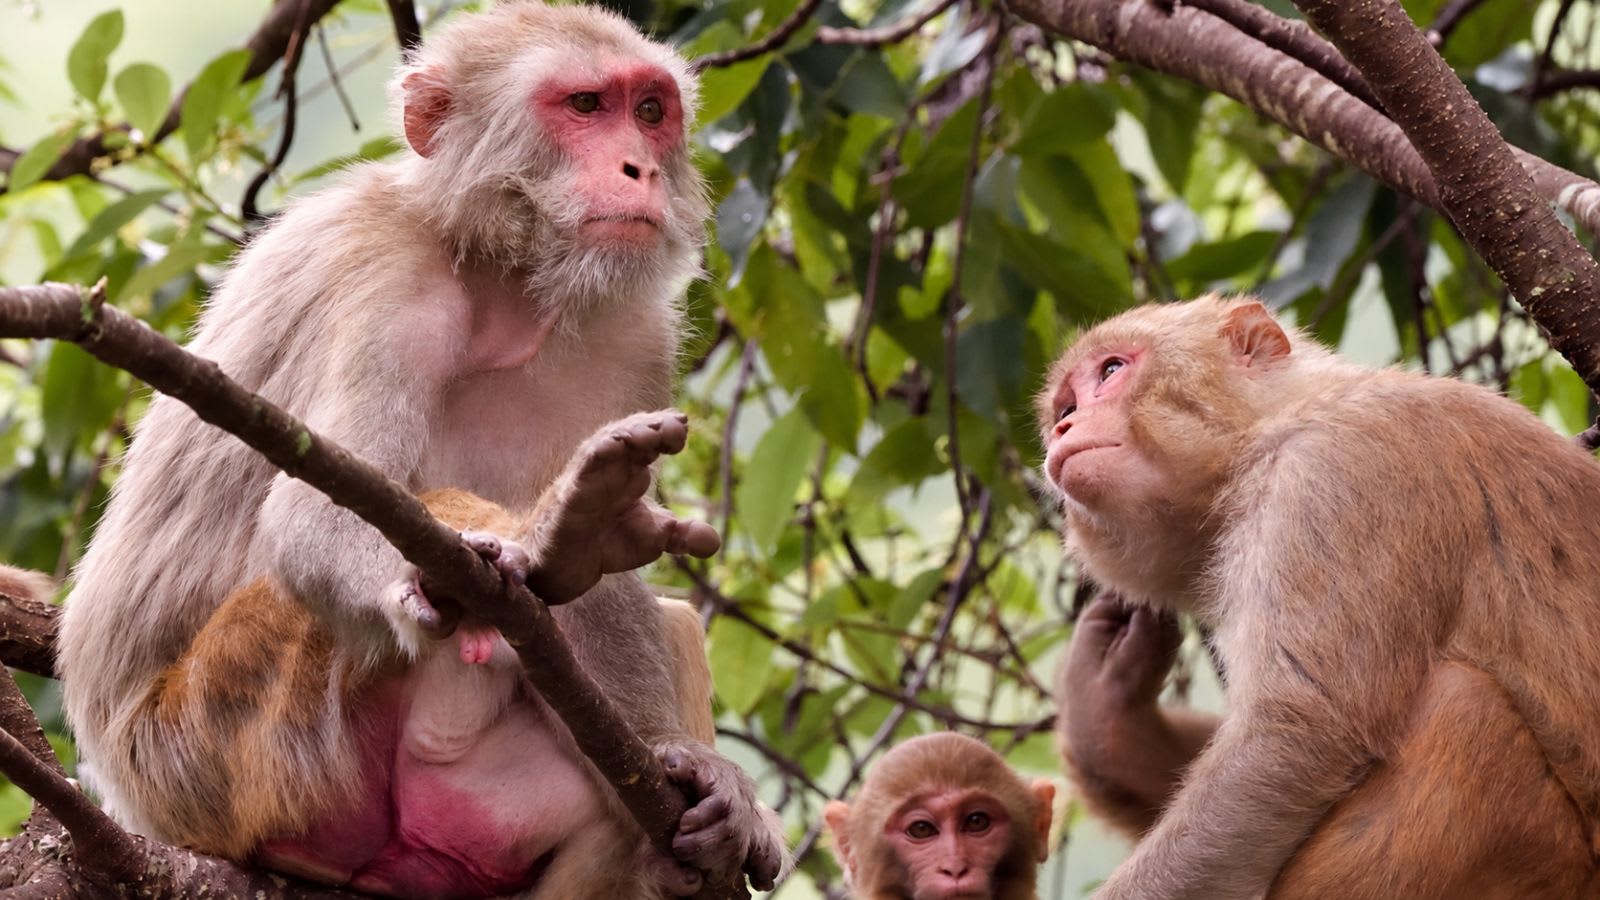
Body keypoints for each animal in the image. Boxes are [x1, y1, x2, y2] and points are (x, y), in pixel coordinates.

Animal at [56, 4, 786, 897]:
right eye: (585, 105)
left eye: (649, 111)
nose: (639, 167)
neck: (499, 276)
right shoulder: (390, 288)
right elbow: (307, 520)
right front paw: (543, 540)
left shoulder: (632, 335)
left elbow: (611, 594)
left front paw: (687, 763)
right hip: (228, 742)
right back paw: (549, 540)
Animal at [1037, 294, 1600, 900]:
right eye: (1066, 404)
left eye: (1111, 371)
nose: (1066, 424)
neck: (1275, 425)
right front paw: (1106, 721)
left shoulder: (1334, 472)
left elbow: (1296, 734)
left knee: (1464, 706)